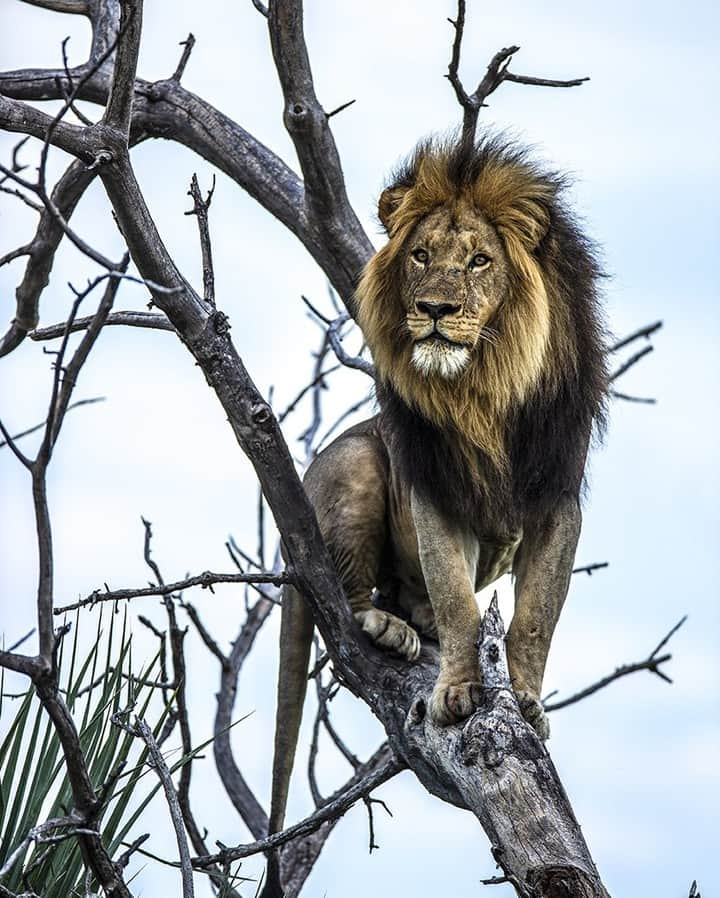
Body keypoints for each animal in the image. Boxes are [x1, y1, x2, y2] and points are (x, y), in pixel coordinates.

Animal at [262, 135, 604, 896]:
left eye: (480, 260)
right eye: (420, 254)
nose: (436, 308)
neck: (486, 387)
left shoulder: (557, 496)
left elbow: (535, 615)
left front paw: (525, 700)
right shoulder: (433, 486)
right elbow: (454, 596)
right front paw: (456, 691)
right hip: (358, 460)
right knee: (354, 599)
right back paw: (388, 626)